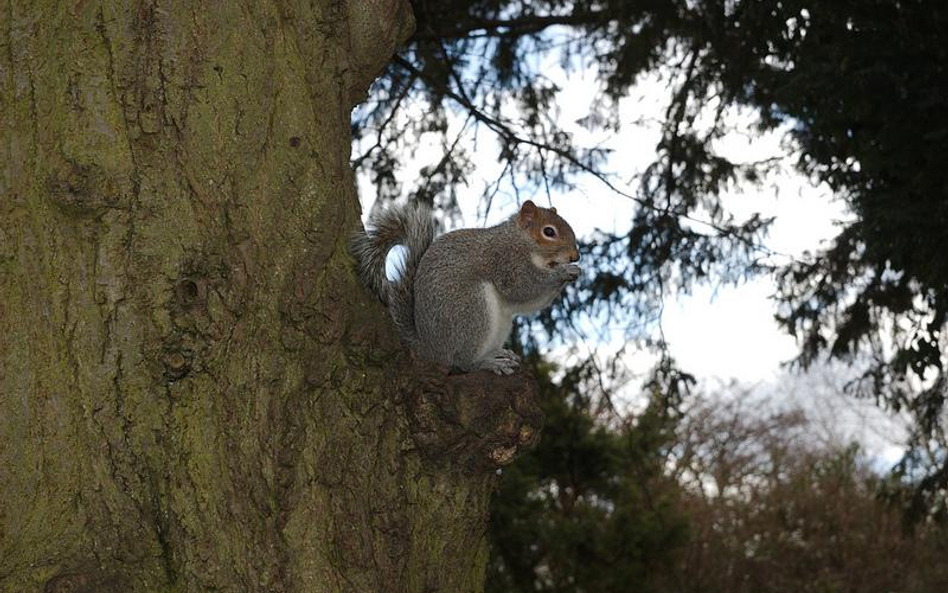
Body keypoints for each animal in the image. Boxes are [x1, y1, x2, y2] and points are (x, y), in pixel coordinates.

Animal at [352, 201, 580, 372]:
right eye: (549, 232)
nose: (575, 256)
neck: (521, 241)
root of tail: (430, 348)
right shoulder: (506, 262)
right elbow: (523, 288)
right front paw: (563, 272)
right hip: (472, 309)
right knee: (462, 363)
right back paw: (487, 363)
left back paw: (498, 353)